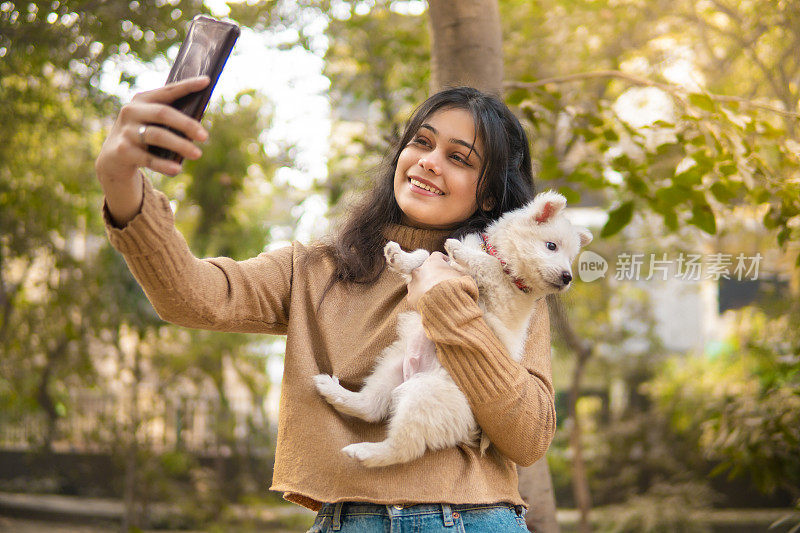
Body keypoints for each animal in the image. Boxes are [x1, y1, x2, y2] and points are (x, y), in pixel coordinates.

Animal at [316, 191, 592, 466]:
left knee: (404, 447)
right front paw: (402, 258)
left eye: (571, 259)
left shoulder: (502, 288)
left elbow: (487, 265)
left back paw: (365, 452)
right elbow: (426, 254)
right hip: (391, 367)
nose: (568, 277)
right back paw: (334, 391)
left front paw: (460, 250)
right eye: (552, 246)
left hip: (427, 395)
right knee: (371, 406)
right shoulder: (446, 267)